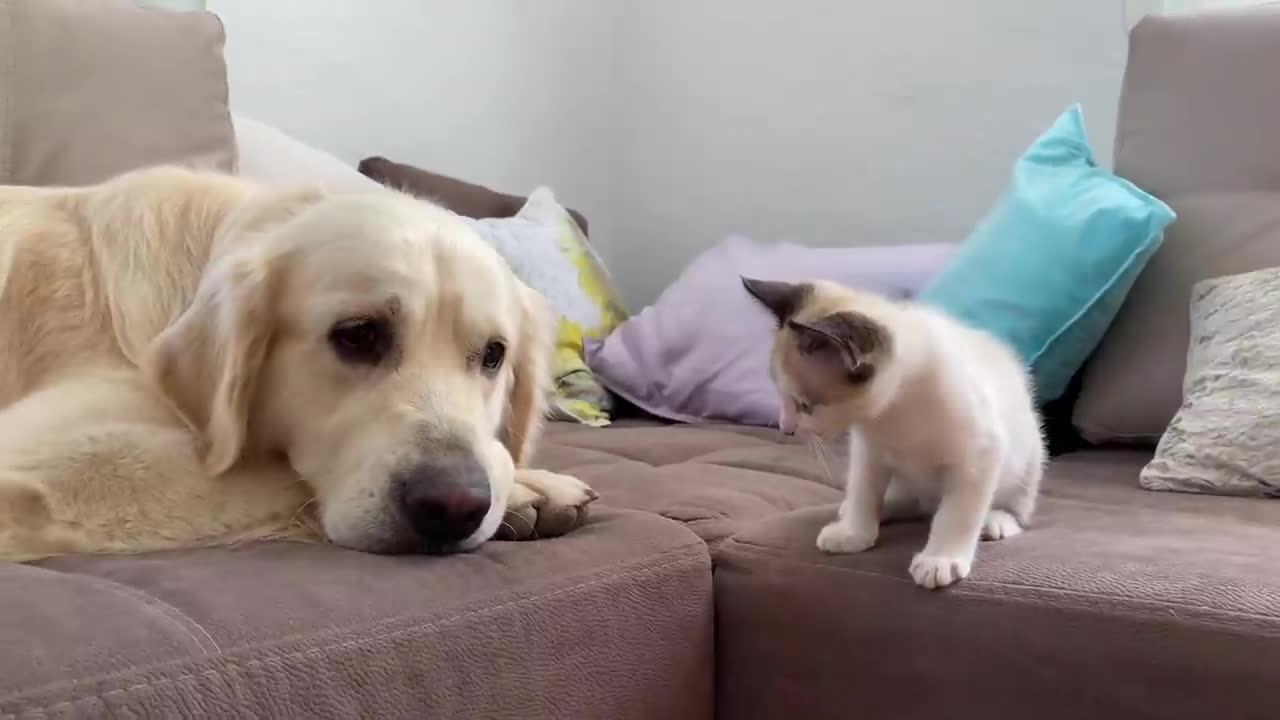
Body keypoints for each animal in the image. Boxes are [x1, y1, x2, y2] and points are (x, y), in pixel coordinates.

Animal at [0, 165, 593, 558]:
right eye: (358, 335)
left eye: (494, 354)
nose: (457, 505)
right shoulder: (34, 463)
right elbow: (283, 477)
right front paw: (529, 489)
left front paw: (526, 483)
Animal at [747, 278, 1044, 586]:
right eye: (781, 396)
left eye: (805, 405)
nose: (785, 428)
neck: (894, 411)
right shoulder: (868, 452)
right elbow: (864, 491)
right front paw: (854, 534)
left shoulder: (981, 452)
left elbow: (957, 513)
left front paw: (940, 559)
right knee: (910, 501)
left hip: (1029, 458)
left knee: (1007, 505)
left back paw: (997, 520)